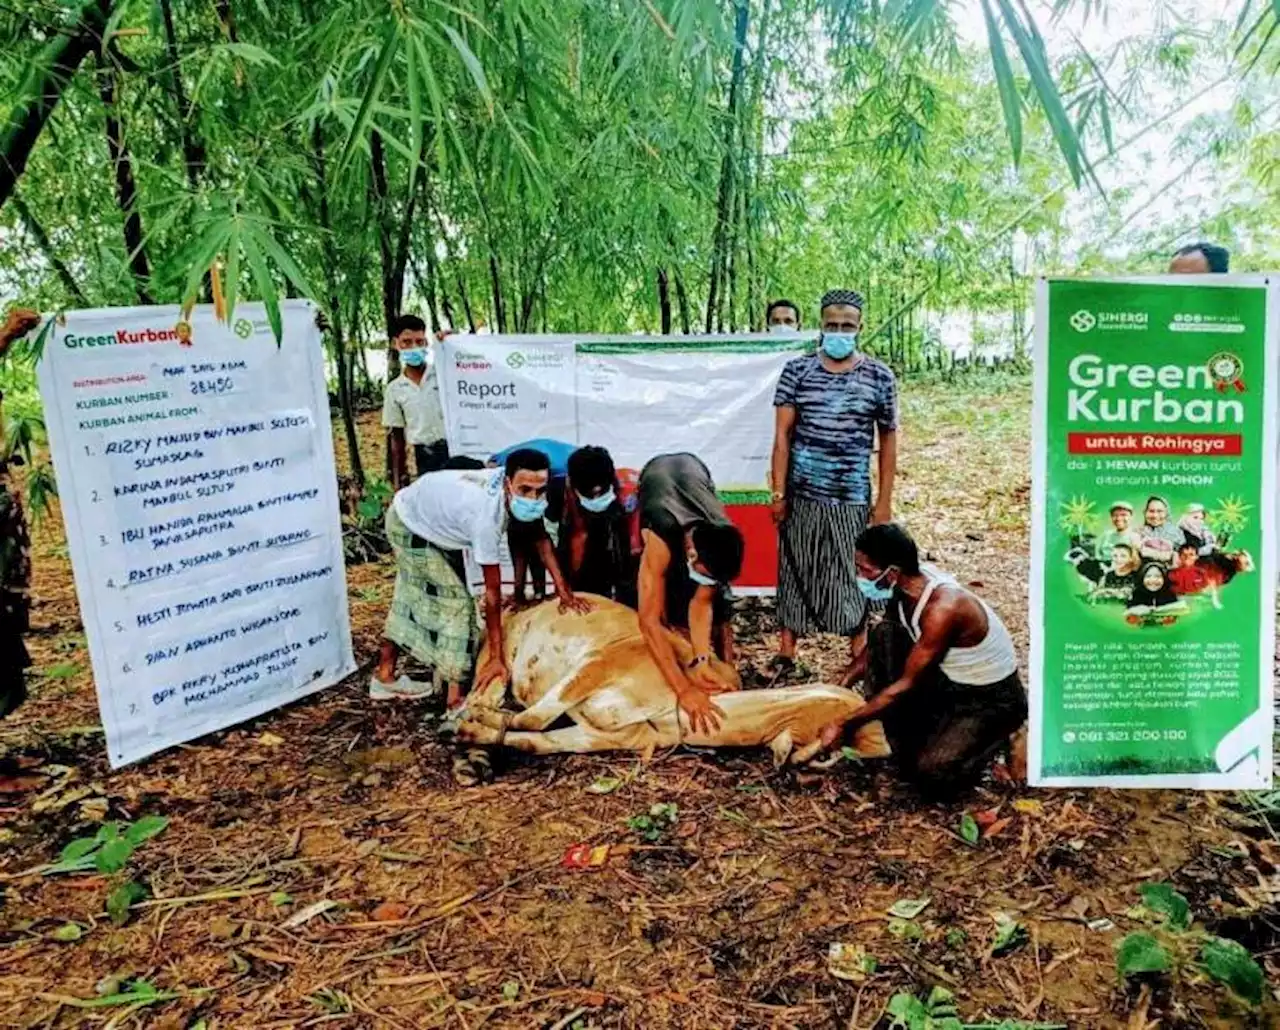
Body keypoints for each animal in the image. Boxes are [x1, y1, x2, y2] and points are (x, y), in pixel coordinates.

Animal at [453, 593, 890, 762]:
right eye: (849, 721)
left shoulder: (604, 735)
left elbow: (533, 738)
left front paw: (478, 733)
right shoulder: (602, 660)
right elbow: (532, 718)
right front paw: (475, 722)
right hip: (501, 645)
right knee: (488, 682)